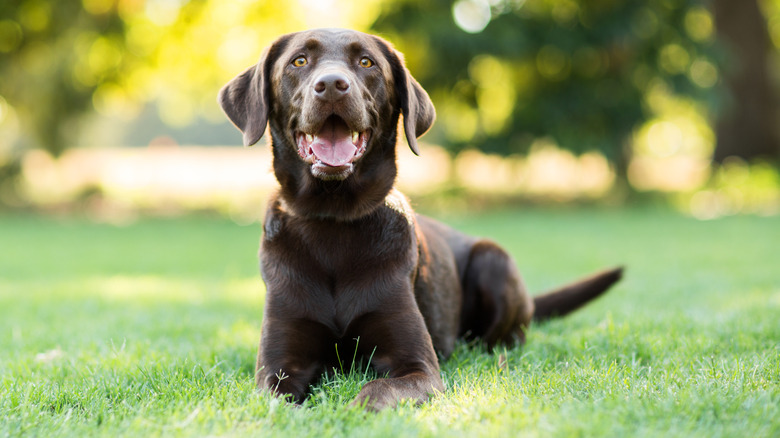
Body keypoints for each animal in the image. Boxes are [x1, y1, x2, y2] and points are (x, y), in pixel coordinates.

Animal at [219, 27, 620, 410]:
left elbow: (376, 390)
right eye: (299, 61)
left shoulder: (418, 366)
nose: (332, 84)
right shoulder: (278, 368)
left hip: (494, 260)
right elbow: (278, 404)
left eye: (366, 62)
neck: (332, 221)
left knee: (506, 342)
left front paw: (351, 410)